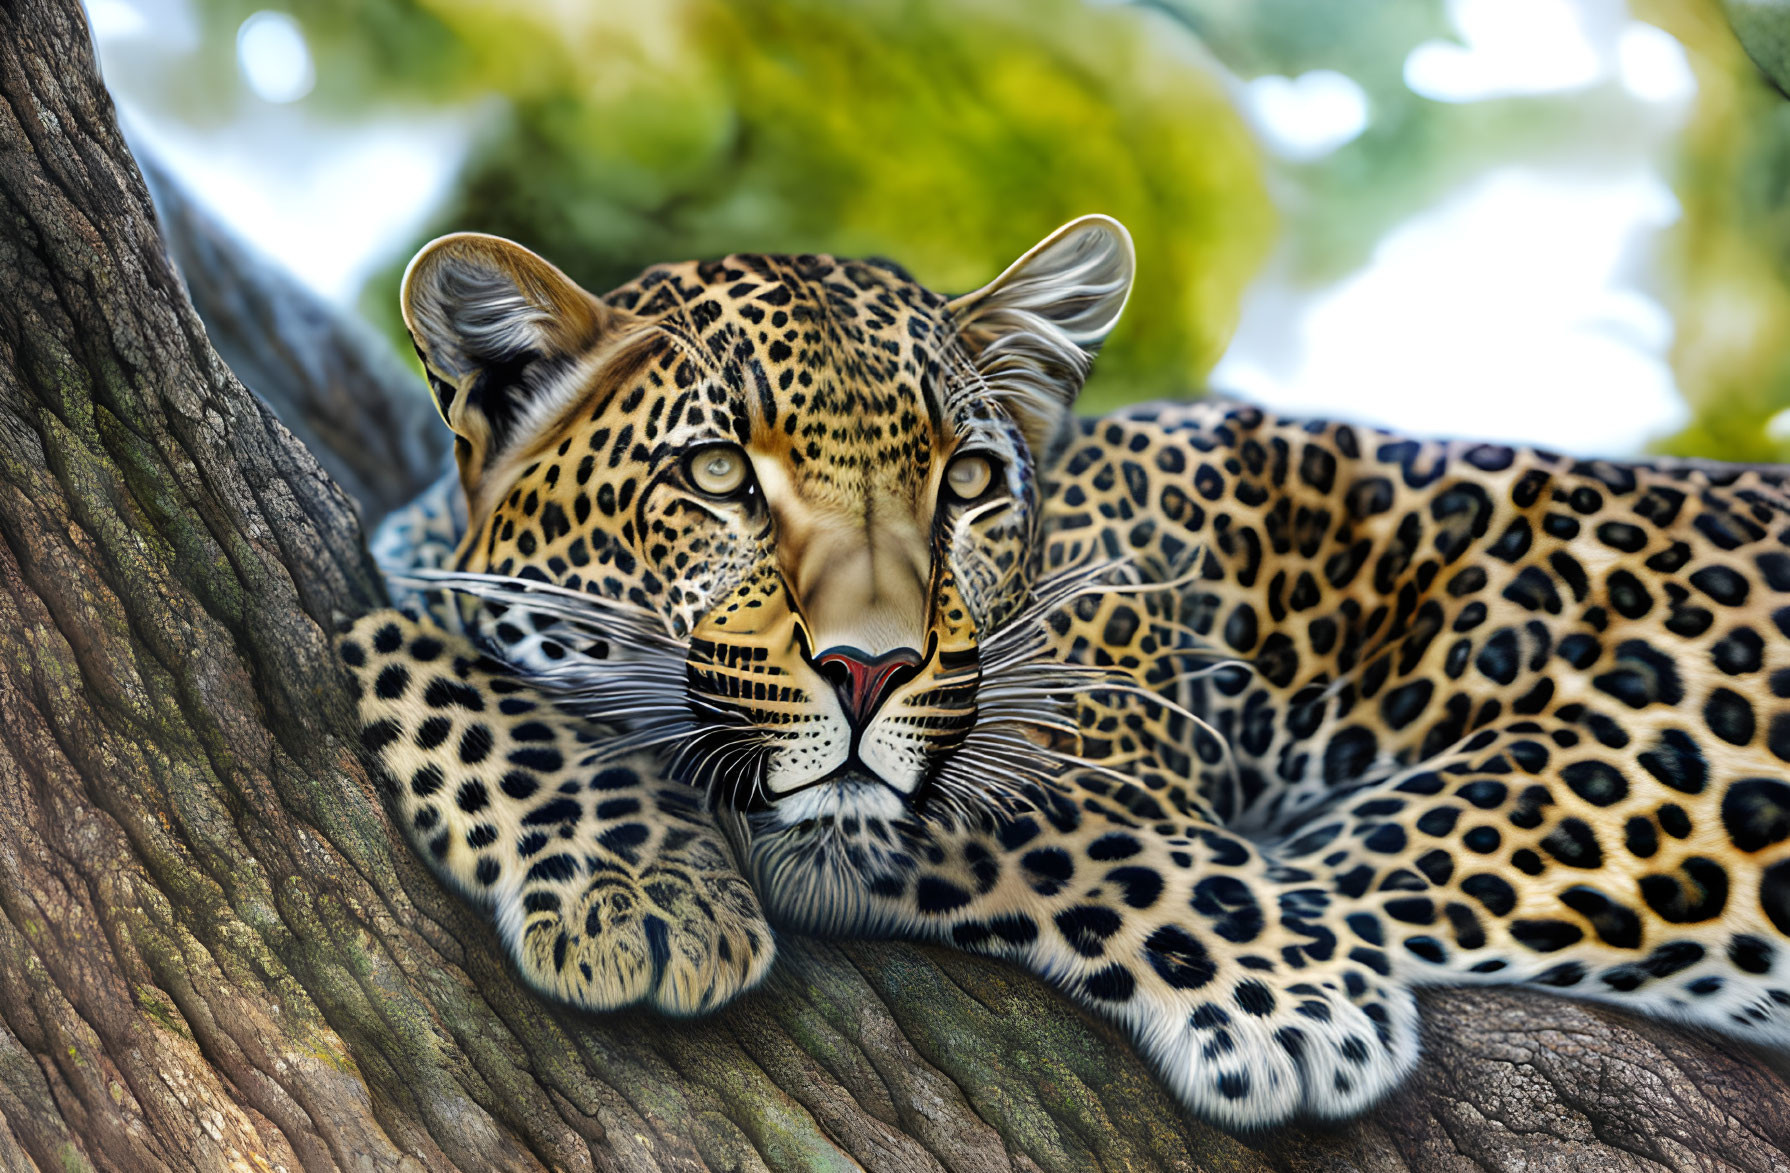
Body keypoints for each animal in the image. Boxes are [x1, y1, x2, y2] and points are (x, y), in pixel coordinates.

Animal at [332, 217, 1790, 1131]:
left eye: (969, 481)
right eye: (714, 474)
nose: (870, 671)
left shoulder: (1635, 748)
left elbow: (1084, 823)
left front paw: (1300, 1004)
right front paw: (631, 878)